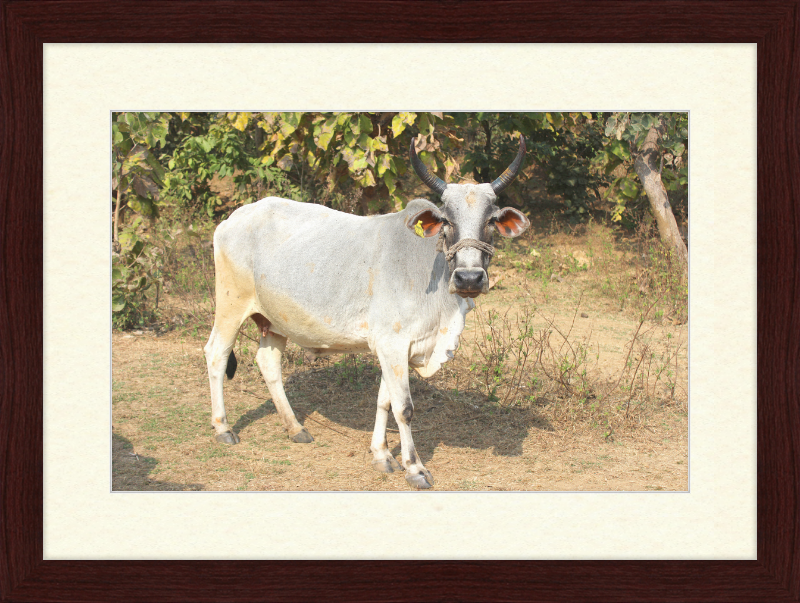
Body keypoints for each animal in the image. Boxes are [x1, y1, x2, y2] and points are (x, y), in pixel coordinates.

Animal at [206, 136, 528, 486]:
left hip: (275, 321)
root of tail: (232, 219)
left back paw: (295, 428)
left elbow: (384, 401)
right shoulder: (392, 344)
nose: (469, 278)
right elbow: (404, 408)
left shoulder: (397, 348)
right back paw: (223, 428)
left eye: (491, 221)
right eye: (446, 221)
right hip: (230, 305)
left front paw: (382, 455)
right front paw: (414, 467)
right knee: (216, 354)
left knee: (268, 363)